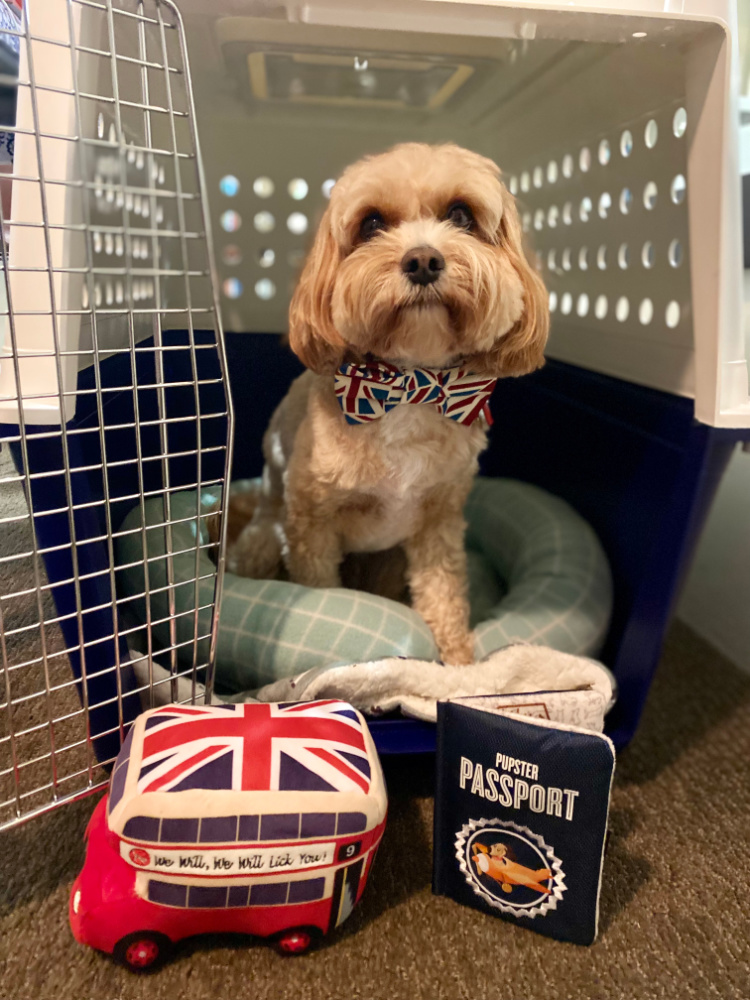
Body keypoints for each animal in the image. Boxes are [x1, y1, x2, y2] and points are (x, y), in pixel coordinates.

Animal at [220, 143, 548, 664]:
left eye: (461, 214)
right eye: (371, 222)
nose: (423, 261)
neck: (410, 385)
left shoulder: (439, 523)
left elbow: (444, 596)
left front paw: (459, 667)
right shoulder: (310, 526)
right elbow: (318, 587)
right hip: (266, 540)